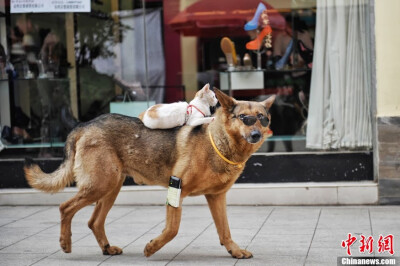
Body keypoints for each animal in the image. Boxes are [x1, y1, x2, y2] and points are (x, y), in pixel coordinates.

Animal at [24, 89, 276, 260]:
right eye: (244, 118)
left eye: (262, 118)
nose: (256, 135)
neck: (218, 142)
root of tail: (85, 124)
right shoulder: (177, 188)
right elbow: (172, 229)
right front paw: (152, 247)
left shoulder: (216, 197)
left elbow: (224, 230)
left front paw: (234, 250)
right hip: (100, 185)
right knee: (65, 207)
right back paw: (65, 242)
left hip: (110, 188)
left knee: (94, 221)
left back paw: (106, 248)